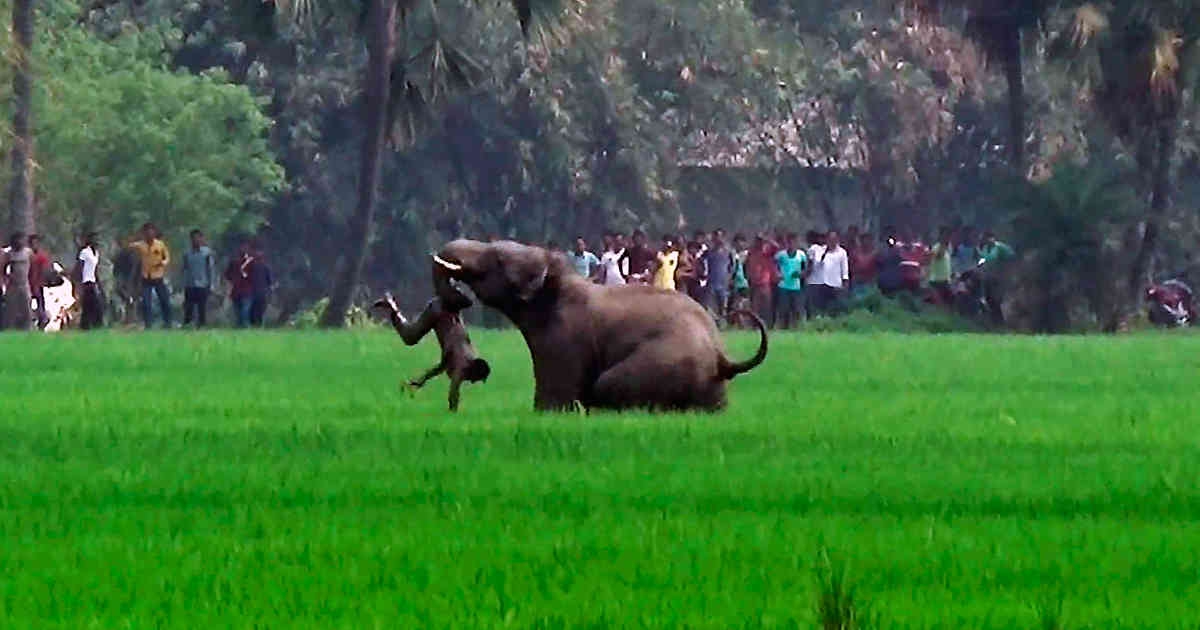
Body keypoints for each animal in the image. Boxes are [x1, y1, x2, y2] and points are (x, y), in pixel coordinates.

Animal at [431, 239, 768, 412]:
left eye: (497, 259)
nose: (459, 300)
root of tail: (723, 359)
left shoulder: (565, 338)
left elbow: (555, 398)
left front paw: (549, 411)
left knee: (607, 384)